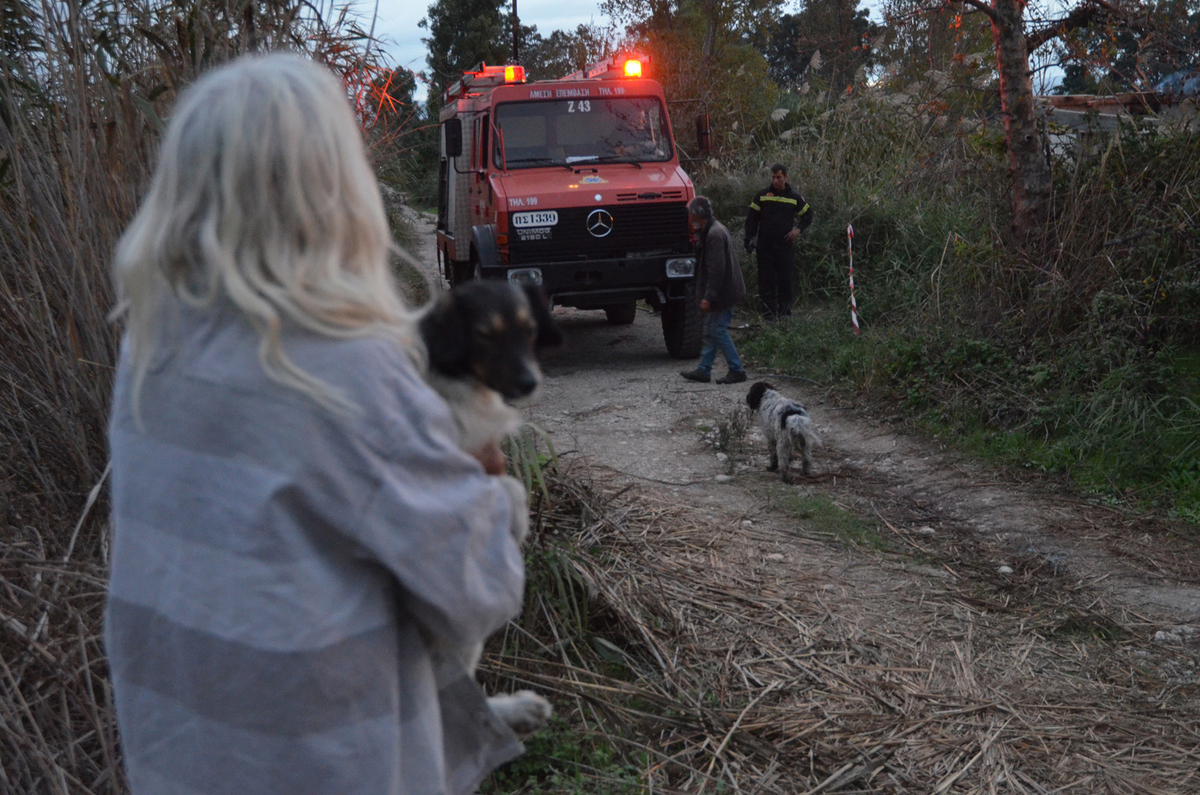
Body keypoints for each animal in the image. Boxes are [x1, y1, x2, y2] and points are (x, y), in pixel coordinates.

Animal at [417, 283, 561, 739]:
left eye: (529, 330)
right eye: (484, 335)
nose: (529, 382)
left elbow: (511, 487)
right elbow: (510, 488)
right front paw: (515, 525)